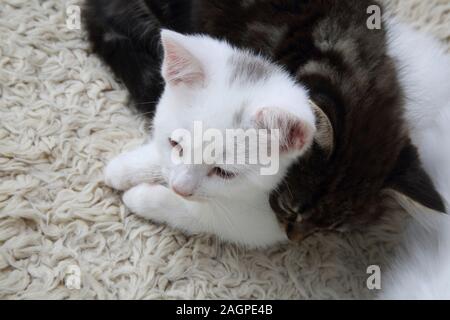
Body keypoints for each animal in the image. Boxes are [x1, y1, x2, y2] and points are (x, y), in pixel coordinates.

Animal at [105, 30, 316, 249]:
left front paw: (142, 197)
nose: (179, 189)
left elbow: (205, 215)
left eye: (224, 173)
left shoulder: (274, 221)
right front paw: (125, 168)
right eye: (175, 144)